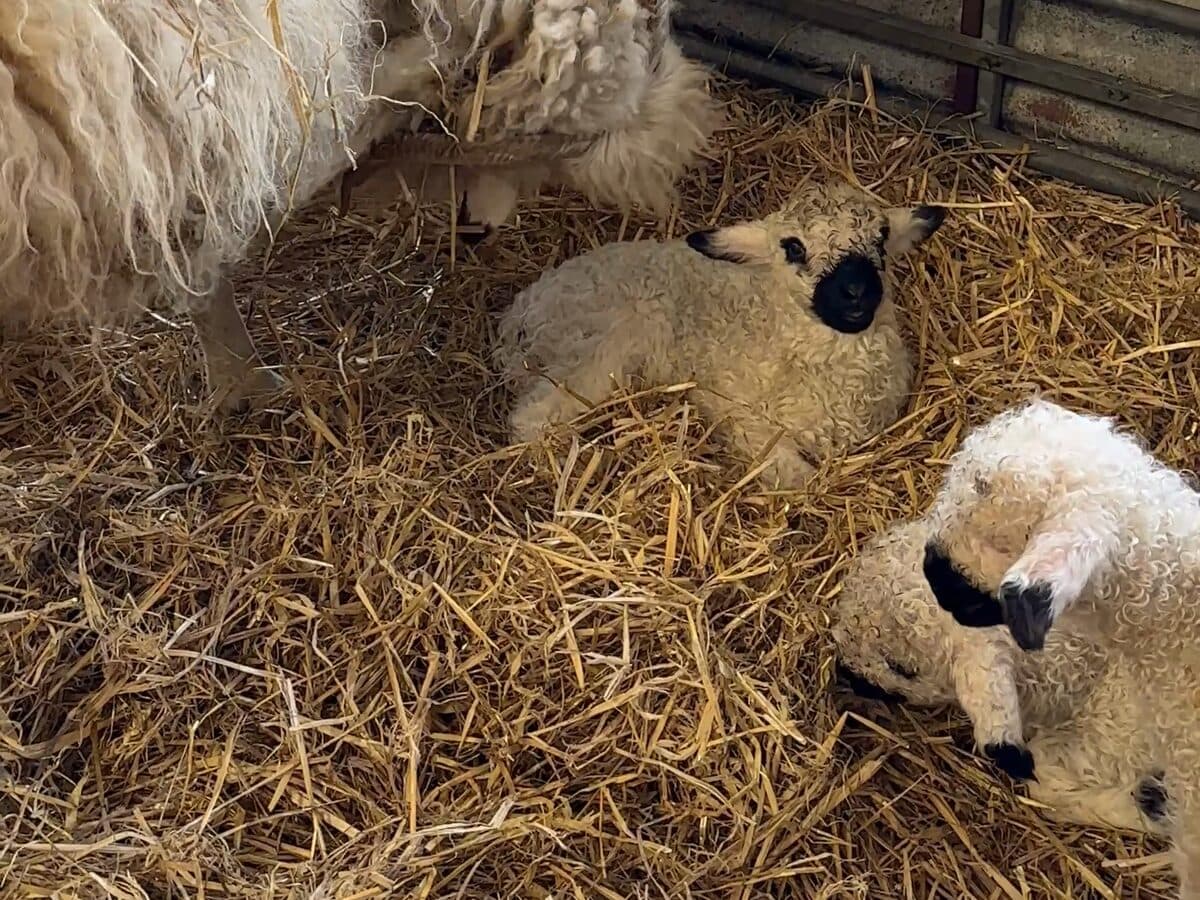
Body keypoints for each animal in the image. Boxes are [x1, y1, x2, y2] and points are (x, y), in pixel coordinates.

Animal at [494, 181, 946, 488]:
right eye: (793, 247)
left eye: (882, 238)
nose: (857, 289)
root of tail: (518, 314)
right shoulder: (733, 408)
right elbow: (793, 475)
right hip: (596, 346)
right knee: (532, 417)